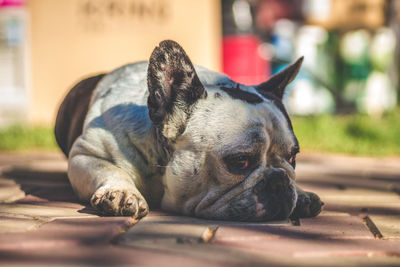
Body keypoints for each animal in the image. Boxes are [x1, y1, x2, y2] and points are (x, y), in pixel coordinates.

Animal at [54, 39, 324, 222]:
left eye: (293, 158)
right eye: (240, 161)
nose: (280, 180)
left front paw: (301, 193)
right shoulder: (86, 153)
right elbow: (109, 168)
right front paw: (120, 191)